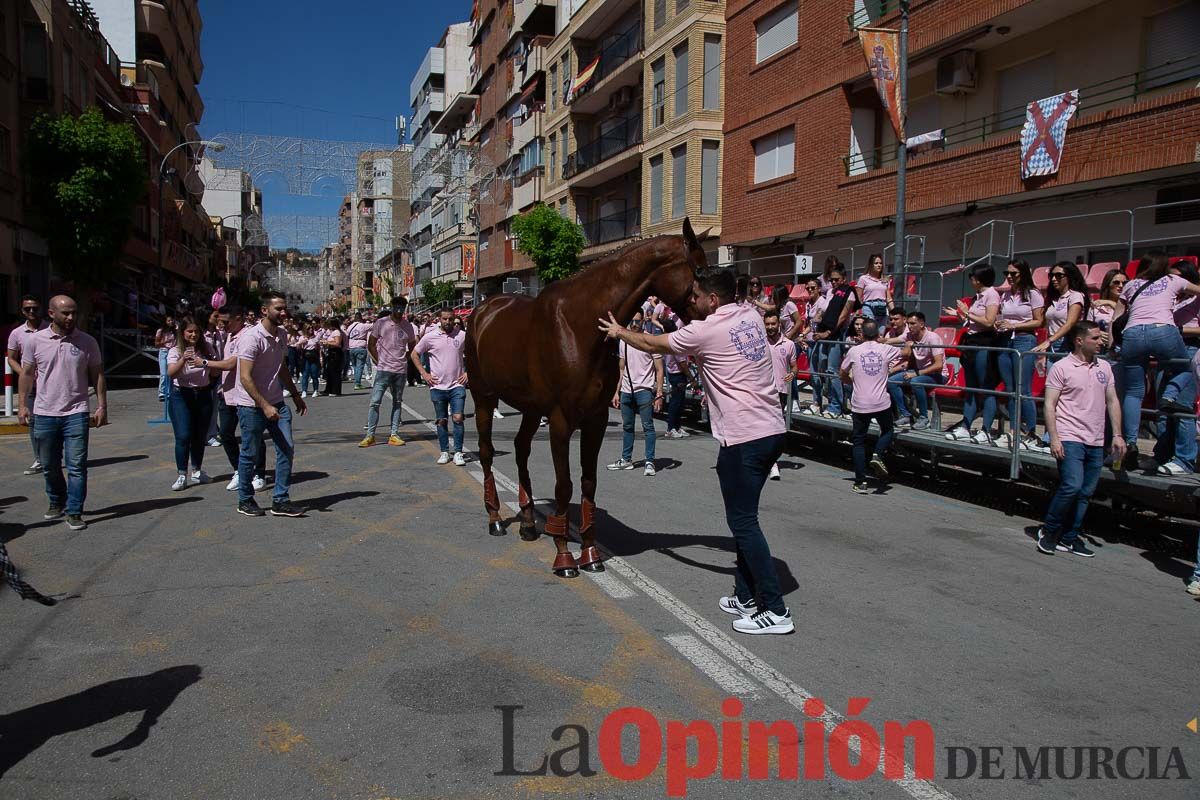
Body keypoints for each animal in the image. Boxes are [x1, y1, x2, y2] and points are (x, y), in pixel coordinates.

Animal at [463, 219, 705, 575]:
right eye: (699, 269)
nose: (711, 311)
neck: (581, 326)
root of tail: (482, 311)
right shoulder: (561, 421)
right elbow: (564, 486)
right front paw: (564, 556)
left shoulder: (596, 420)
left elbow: (589, 482)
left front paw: (590, 554)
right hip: (484, 397)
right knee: (486, 451)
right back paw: (495, 517)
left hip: (531, 409)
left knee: (521, 449)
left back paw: (528, 522)